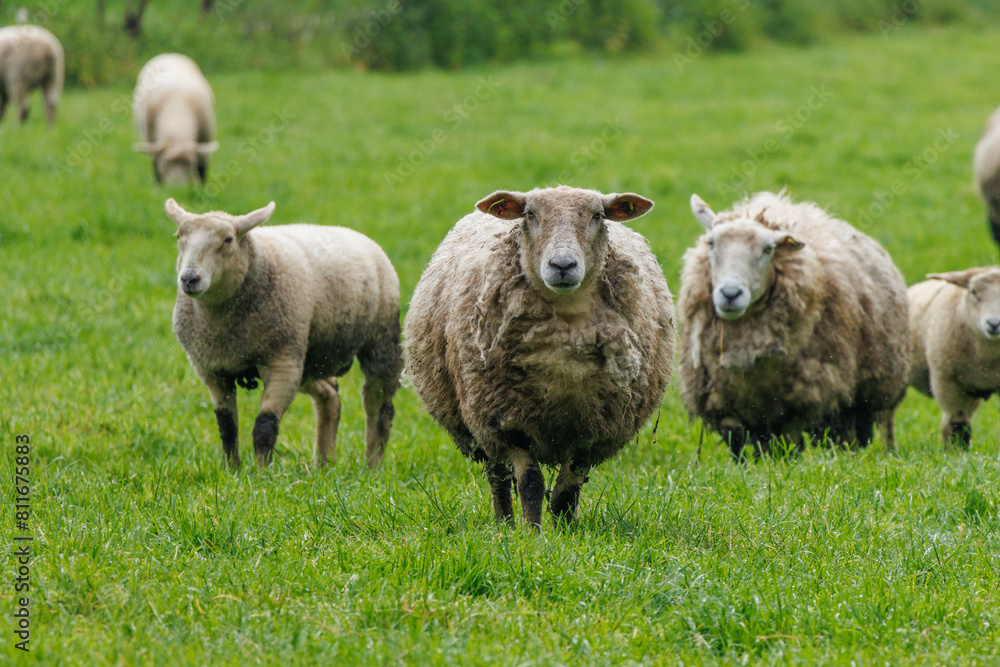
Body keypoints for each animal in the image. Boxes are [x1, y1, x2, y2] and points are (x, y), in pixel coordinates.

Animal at [133, 54, 218, 185]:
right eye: (166, 164)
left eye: (191, 164)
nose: (178, 188)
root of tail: (168, 54)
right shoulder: (153, 143)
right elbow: (157, 168)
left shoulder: (205, 139)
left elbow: (202, 168)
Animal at [166, 198, 402, 468]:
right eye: (179, 237)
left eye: (227, 240)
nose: (189, 278)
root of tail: (357, 234)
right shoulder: (212, 369)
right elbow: (227, 427)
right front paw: (230, 470)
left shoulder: (282, 362)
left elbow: (264, 427)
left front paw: (261, 473)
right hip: (309, 357)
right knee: (330, 396)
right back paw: (324, 465)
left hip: (380, 340)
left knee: (379, 407)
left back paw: (372, 466)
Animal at [403, 185, 675, 530]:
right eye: (530, 214)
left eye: (597, 215)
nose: (562, 265)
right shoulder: (509, 419)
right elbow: (530, 482)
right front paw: (533, 533)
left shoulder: (595, 427)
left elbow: (567, 488)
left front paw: (565, 531)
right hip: (482, 419)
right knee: (498, 476)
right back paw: (504, 523)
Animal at [678, 191, 910, 459]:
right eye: (711, 243)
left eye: (768, 249)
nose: (730, 293)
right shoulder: (725, 403)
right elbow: (738, 447)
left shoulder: (799, 402)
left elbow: (789, 448)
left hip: (860, 398)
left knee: (848, 435)